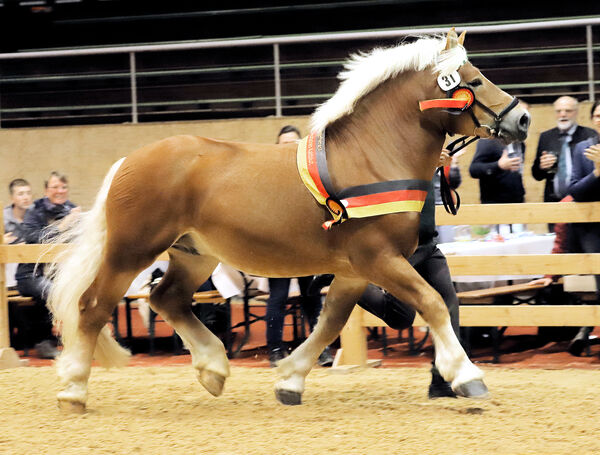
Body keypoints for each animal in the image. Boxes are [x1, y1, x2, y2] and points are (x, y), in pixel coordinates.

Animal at [50, 30, 528, 412]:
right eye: (474, 80)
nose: (521, 118)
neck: (372, 158)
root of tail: (129, 160)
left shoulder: (355, 269)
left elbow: (330, 320)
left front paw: (290, 380)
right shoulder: (378, 258)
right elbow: (431, 303)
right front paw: (467, 376)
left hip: (194, 253)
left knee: (166, 298)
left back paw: (213, 369)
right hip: (131, 249)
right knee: (93, 306)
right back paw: (73, 390)